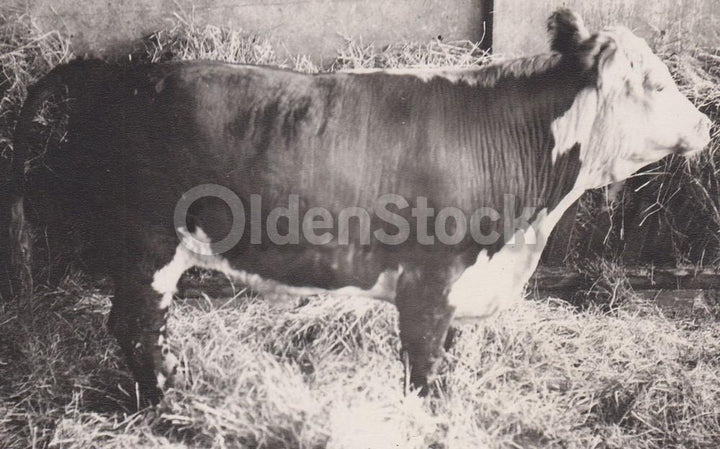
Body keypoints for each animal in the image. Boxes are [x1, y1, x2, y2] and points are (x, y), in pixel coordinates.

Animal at [3, 9, 711, 404]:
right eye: (655, 84)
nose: (706, 125)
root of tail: (118, 73)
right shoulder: (427, 284)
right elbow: (425, 374)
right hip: (145, 244)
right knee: (134, 326)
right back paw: (163, 405)